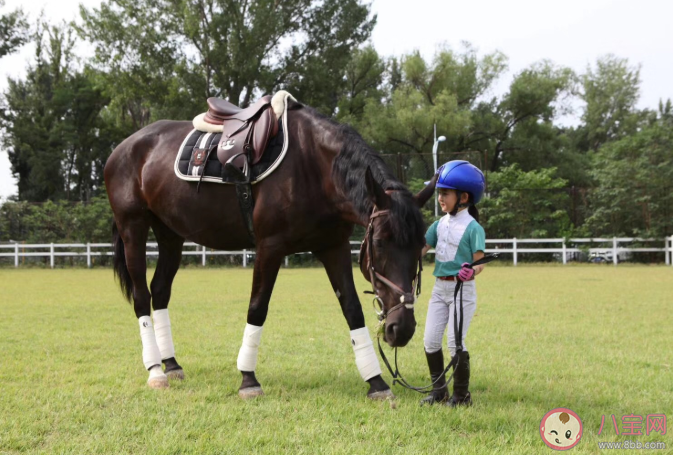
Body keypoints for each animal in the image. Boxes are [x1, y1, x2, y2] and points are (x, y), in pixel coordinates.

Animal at [105, 91, 436, 400]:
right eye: (379, 243)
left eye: (421, 247)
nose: (401, 328)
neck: (314, 166)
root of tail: (122, 147)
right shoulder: (269, 248)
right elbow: (257, 308)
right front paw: (248, 379)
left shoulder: (334, 247)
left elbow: (352, 310)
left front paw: (376, 382)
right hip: (133, 227)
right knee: (141, 296)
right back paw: (155, 371)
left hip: (170, 235)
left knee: (160, 291)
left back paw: (171, 364)